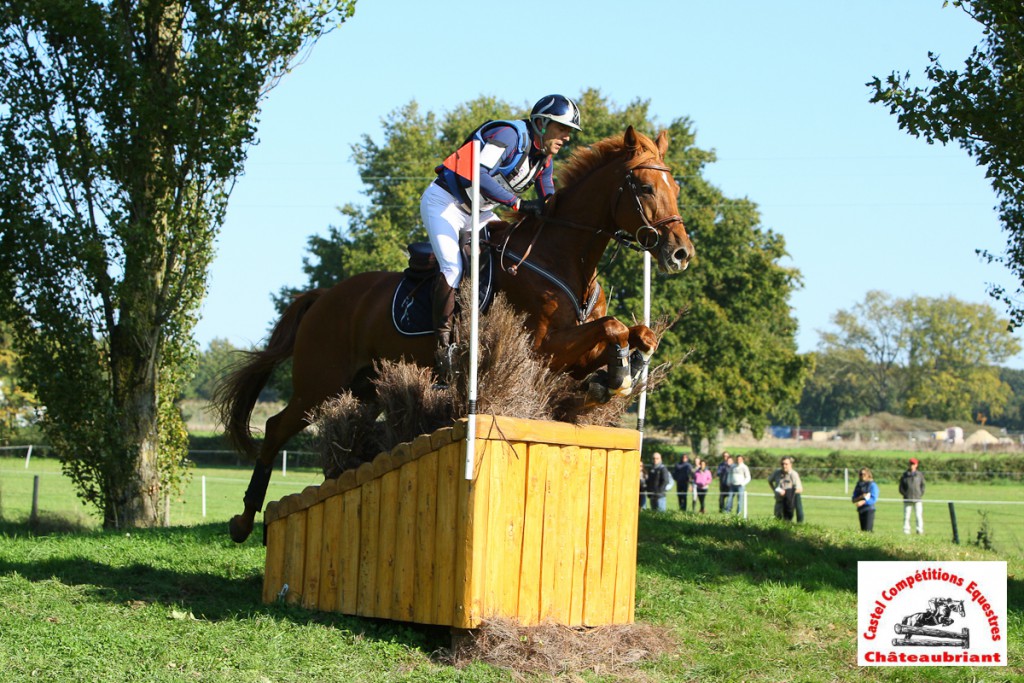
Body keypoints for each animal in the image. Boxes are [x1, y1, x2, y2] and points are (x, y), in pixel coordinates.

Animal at [216, 125, 696, 540]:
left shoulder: (568, 351)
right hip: (319, 383)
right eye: (645, 188)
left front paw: (619, 372)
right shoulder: (541, 349)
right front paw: (617, 372)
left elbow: (637, 333)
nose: (681, 253)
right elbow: (612, 327)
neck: (562, 256)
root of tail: (324, 296)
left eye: (676, 188)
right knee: (275, 428)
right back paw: (244, 520)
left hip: (363, 387)